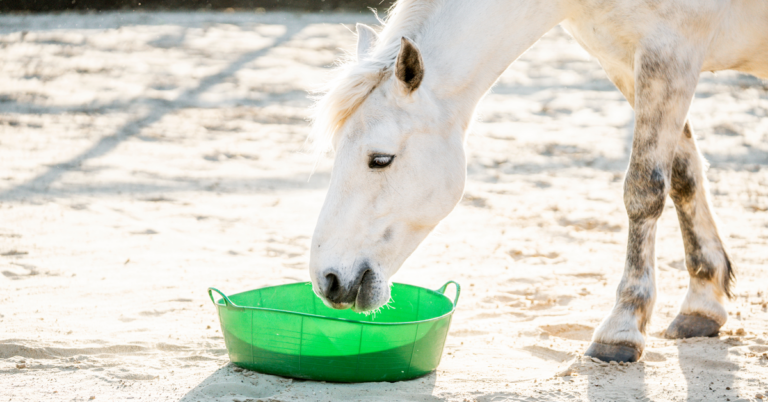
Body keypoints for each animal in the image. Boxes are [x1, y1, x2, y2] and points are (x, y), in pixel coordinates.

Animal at [306, 0, 768, 363]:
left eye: (380, 160)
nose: (328, 280)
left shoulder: (670, 54)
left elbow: (644, 189)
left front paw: (622, 328)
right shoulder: (628, 61)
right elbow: (683, 176)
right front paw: (702, 303)